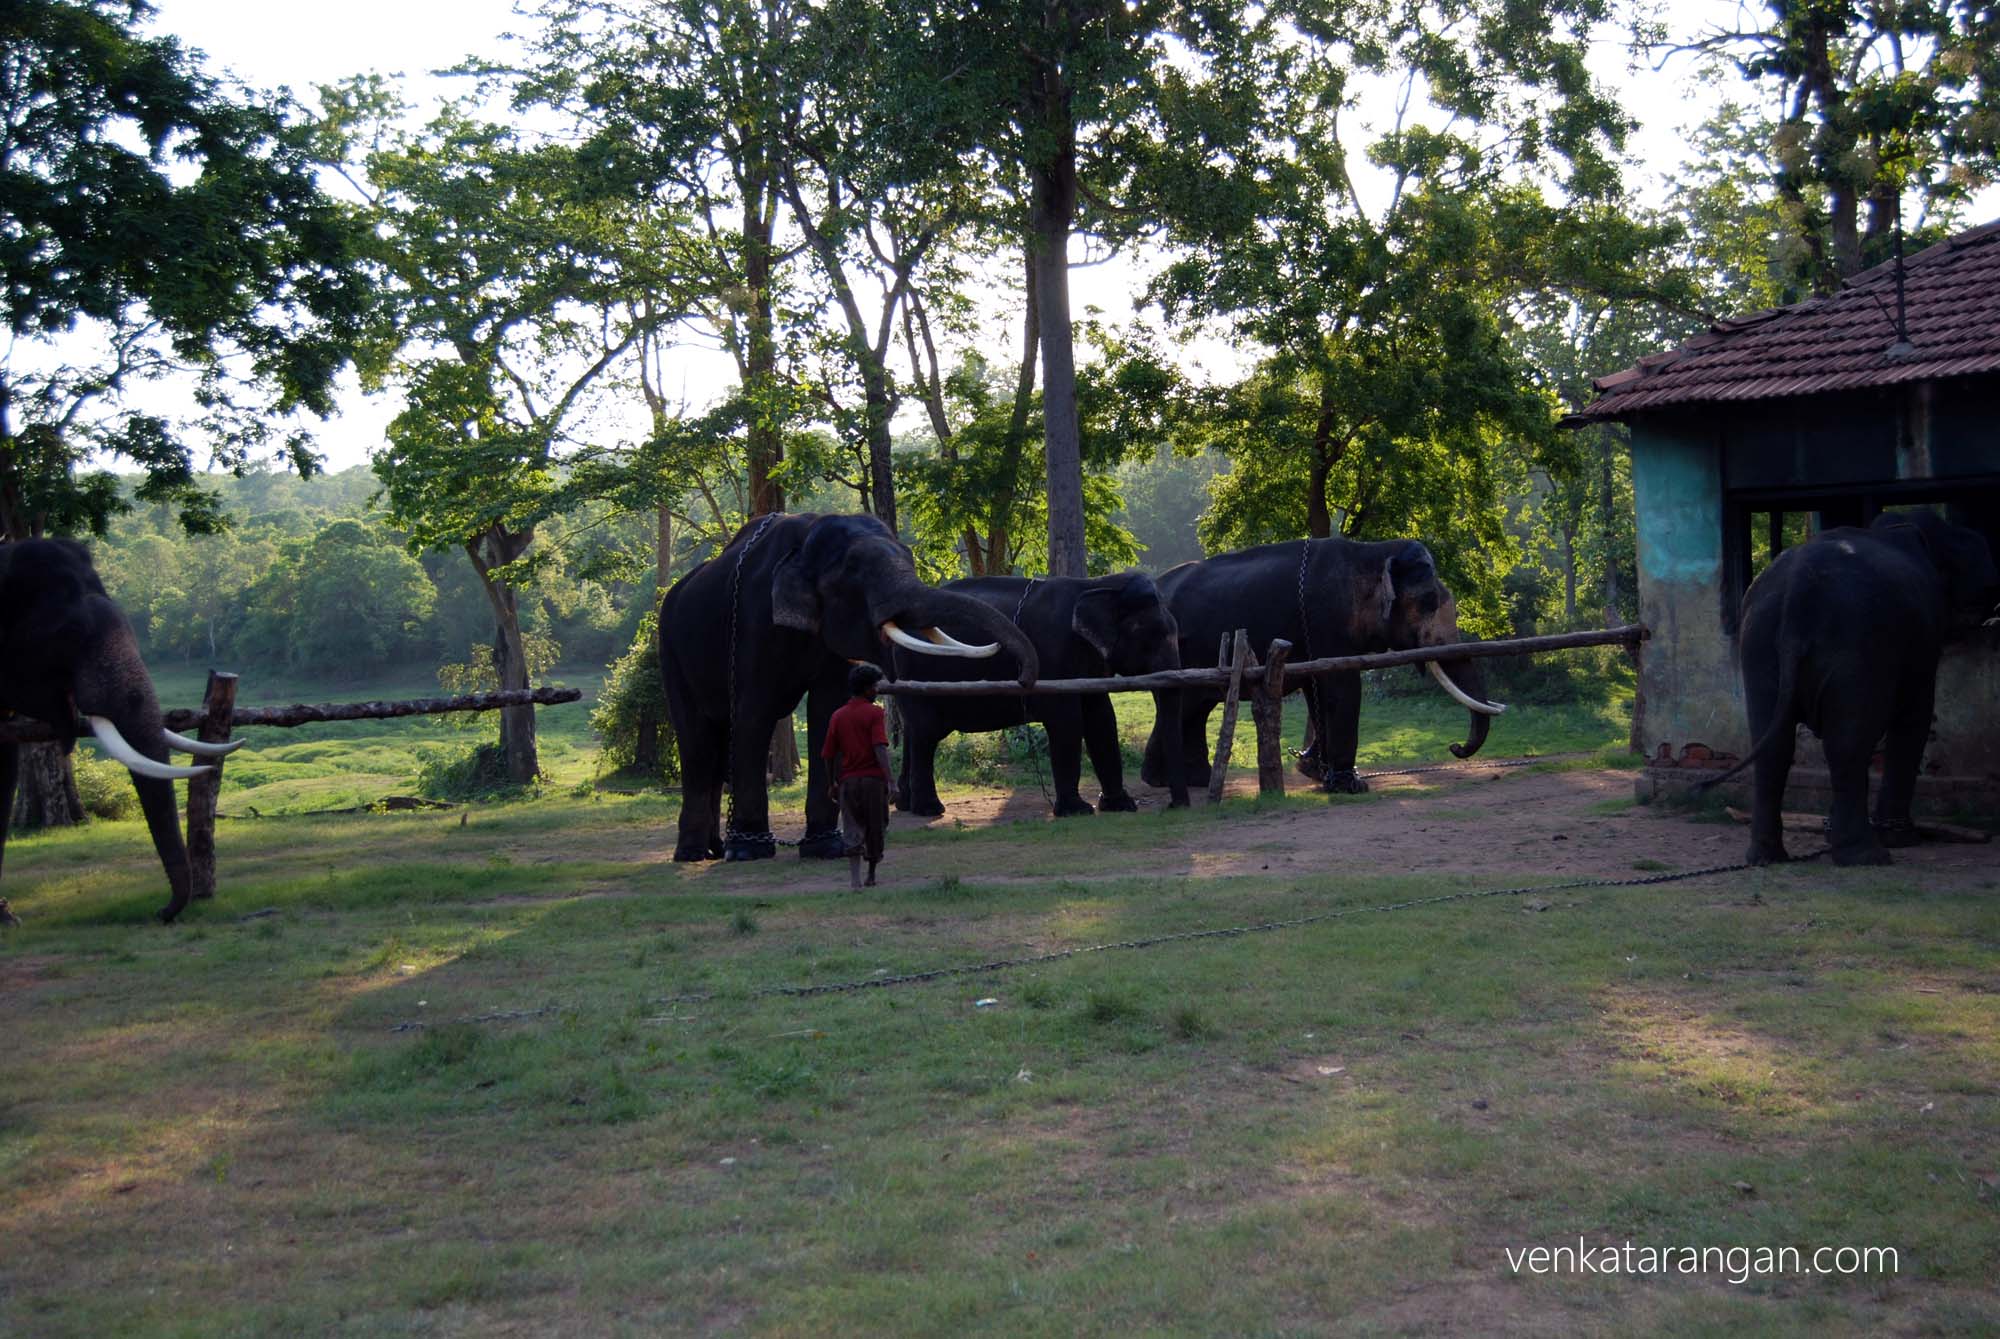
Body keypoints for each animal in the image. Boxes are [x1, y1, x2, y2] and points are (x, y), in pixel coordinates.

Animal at [658, 513, 1040, 862]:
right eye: (856, 571)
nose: (1024, 679)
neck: (806, 537)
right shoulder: (753, 618)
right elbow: (755, 712)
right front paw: (749, 852)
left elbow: (828, 711)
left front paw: (827, 849)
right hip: (670, 648)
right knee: (698, 741)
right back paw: (694, 853)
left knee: (717, 744)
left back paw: (713, 849)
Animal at [890, 571, 1190, 818]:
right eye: (1150, 635)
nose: (1174, 806)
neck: (1096, 584)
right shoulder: (1053, 652)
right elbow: (1067, 719)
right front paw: (1077, 811)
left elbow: (1101, 716)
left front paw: (1121, 806)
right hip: (917, 669)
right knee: (926, 733)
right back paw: (929, 809)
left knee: (914, 732)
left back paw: (905, 804)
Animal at [1141, 538, 1504, 794]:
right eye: (1429, 602)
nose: (1455, 747)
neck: (1371, 551)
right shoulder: (1326, 618)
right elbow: (1342, 686)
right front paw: (1352, 785)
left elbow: (1317, 688)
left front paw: (1316, 771)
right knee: (1186, 705)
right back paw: (1166, 781)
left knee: (1195, 707)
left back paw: (1190, 780)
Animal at [1703, 509, 1999, 867]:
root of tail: (1798, 591)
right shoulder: (1920, 637)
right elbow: (1915, 714)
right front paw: (1903, 839)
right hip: (1854, 643)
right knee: (1848, 742)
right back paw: (1867, 854)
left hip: (1758, 642)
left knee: (1774, 743)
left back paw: (1768, 857)